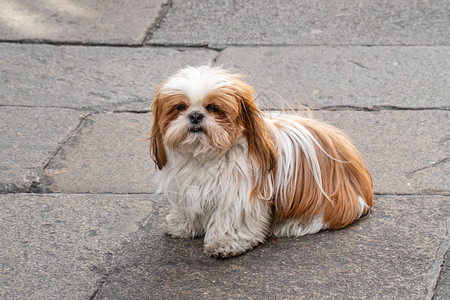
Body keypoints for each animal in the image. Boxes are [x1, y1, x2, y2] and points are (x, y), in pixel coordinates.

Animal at [149, 65, 372, 258]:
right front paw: (182, 225)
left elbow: (232, 219)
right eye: (180, 107)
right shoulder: (187, 187)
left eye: (213, 108)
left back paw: (293, 224)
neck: (206, 155)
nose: (195, 115)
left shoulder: (238, 194)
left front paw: (224, 243)